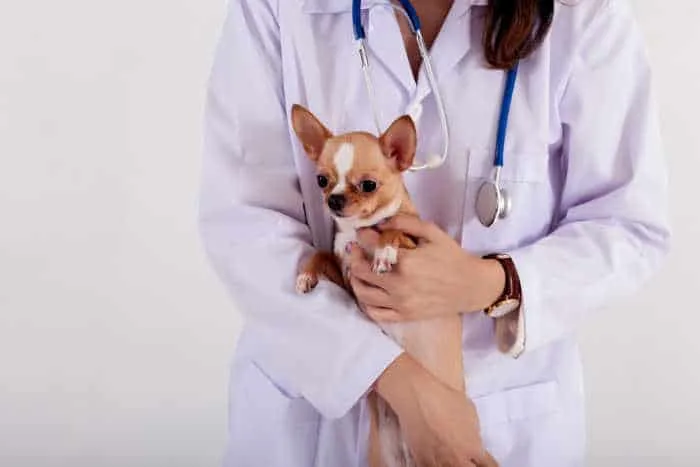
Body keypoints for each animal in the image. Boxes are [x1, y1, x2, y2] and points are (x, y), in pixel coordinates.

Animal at [292, 105, 494, 467]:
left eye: (368, 185)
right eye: (321, 180)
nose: (335, 200)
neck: (359, 230)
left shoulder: (414, 241)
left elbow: (394, 229)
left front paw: (385, 248)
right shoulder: (347, 277)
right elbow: (321, 254)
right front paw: (306, 274)